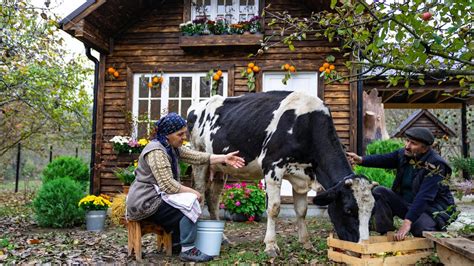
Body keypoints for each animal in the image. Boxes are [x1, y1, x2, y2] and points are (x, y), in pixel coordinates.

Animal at [187, 90, 376, 256]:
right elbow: (274, 208)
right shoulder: (272, 166)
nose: (362, 248)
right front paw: (271, 246)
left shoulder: (302, 176)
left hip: (221, 167)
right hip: (199, 157)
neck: (306, 124)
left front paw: (307, 244)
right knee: (200, 195)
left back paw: (224, 239)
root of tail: (196, 106)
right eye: (348, 210)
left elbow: (301, 210)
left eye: (372, 211)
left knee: (213, 199)